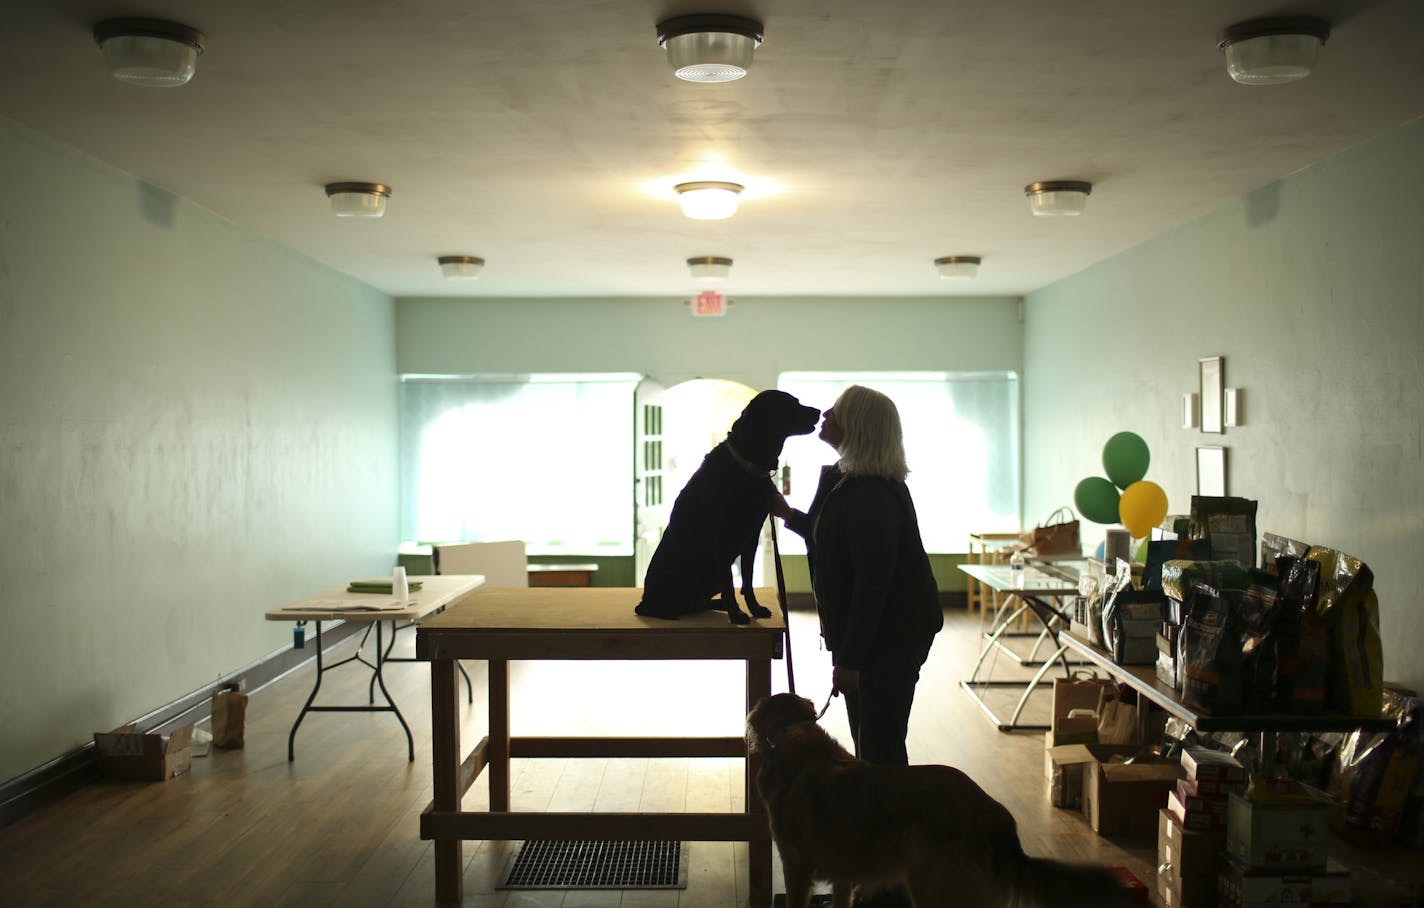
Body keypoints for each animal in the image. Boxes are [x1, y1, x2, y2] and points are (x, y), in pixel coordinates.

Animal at [637, 392, 825, 626]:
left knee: (698, 602)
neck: (748, 465)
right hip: (678, 574)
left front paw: (754, 608)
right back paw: (669, 610)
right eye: (790, 403)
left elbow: (748, 579)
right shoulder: (721, 539)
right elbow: (730, 583)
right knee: (647, 607)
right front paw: (736, 614)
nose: (818, 411)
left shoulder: (752, 536)